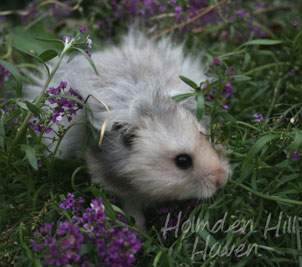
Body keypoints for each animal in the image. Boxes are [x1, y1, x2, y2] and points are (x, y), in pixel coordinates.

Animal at [28, 28, 231, 230]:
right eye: (182, 161)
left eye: (205, 137)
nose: (222, 179)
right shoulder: (122, 191)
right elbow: (134, 213)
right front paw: (139, 231)